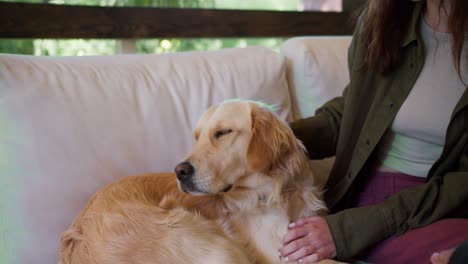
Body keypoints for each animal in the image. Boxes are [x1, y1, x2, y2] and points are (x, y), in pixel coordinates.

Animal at [59, 100, 336, 262]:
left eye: (222, 132)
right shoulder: (282, 254)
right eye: (197, 137)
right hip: (218, 246)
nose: (179, 170)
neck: (277, 192)